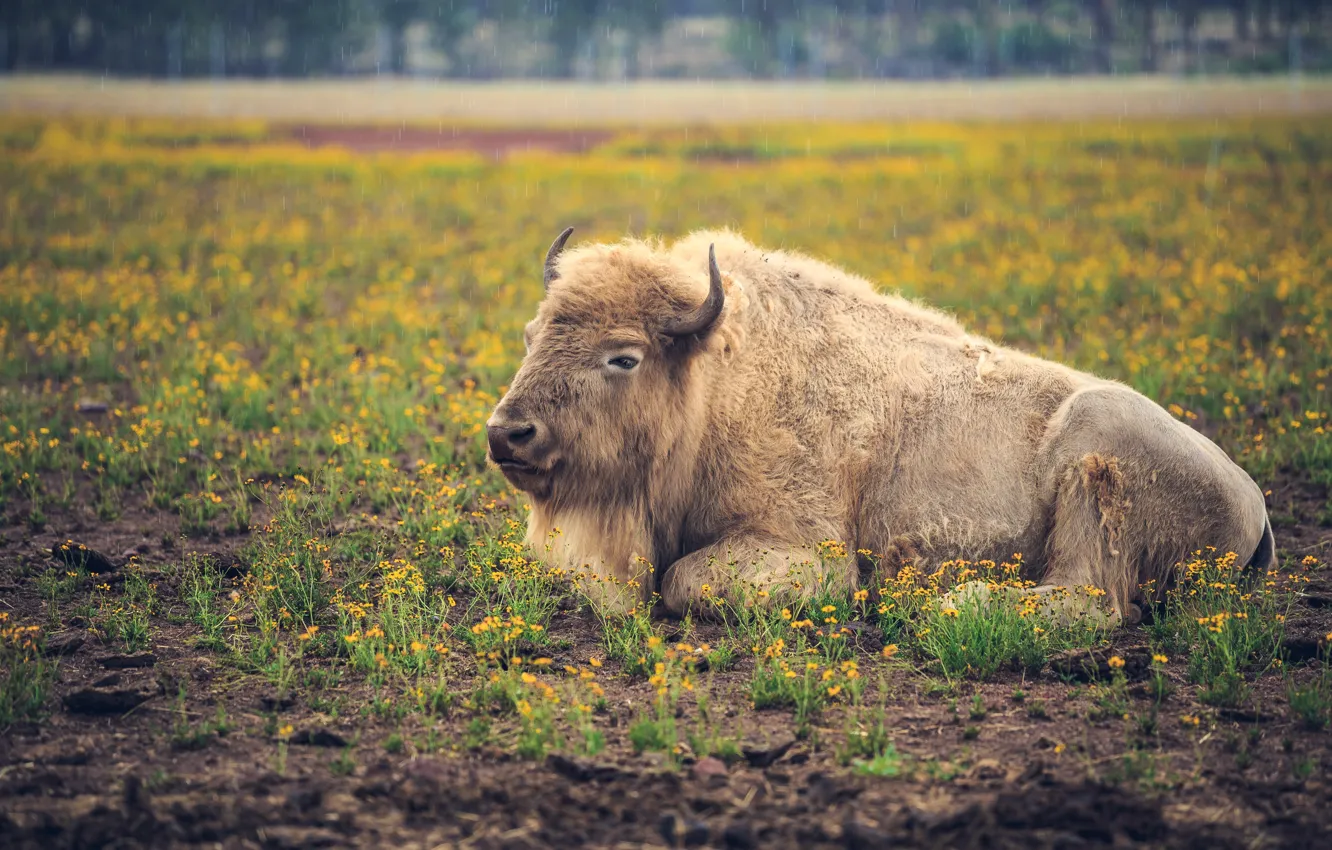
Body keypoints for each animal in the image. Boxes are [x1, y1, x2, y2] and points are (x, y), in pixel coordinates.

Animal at [484, 227, 1273, 626]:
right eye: (530, 334)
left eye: (624, 355)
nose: (507, 435)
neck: (716, 381)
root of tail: (1254, 502)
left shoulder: (803, 549)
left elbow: (684, 581)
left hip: (1094, 456)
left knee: (1094, 602)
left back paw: (951, 601)